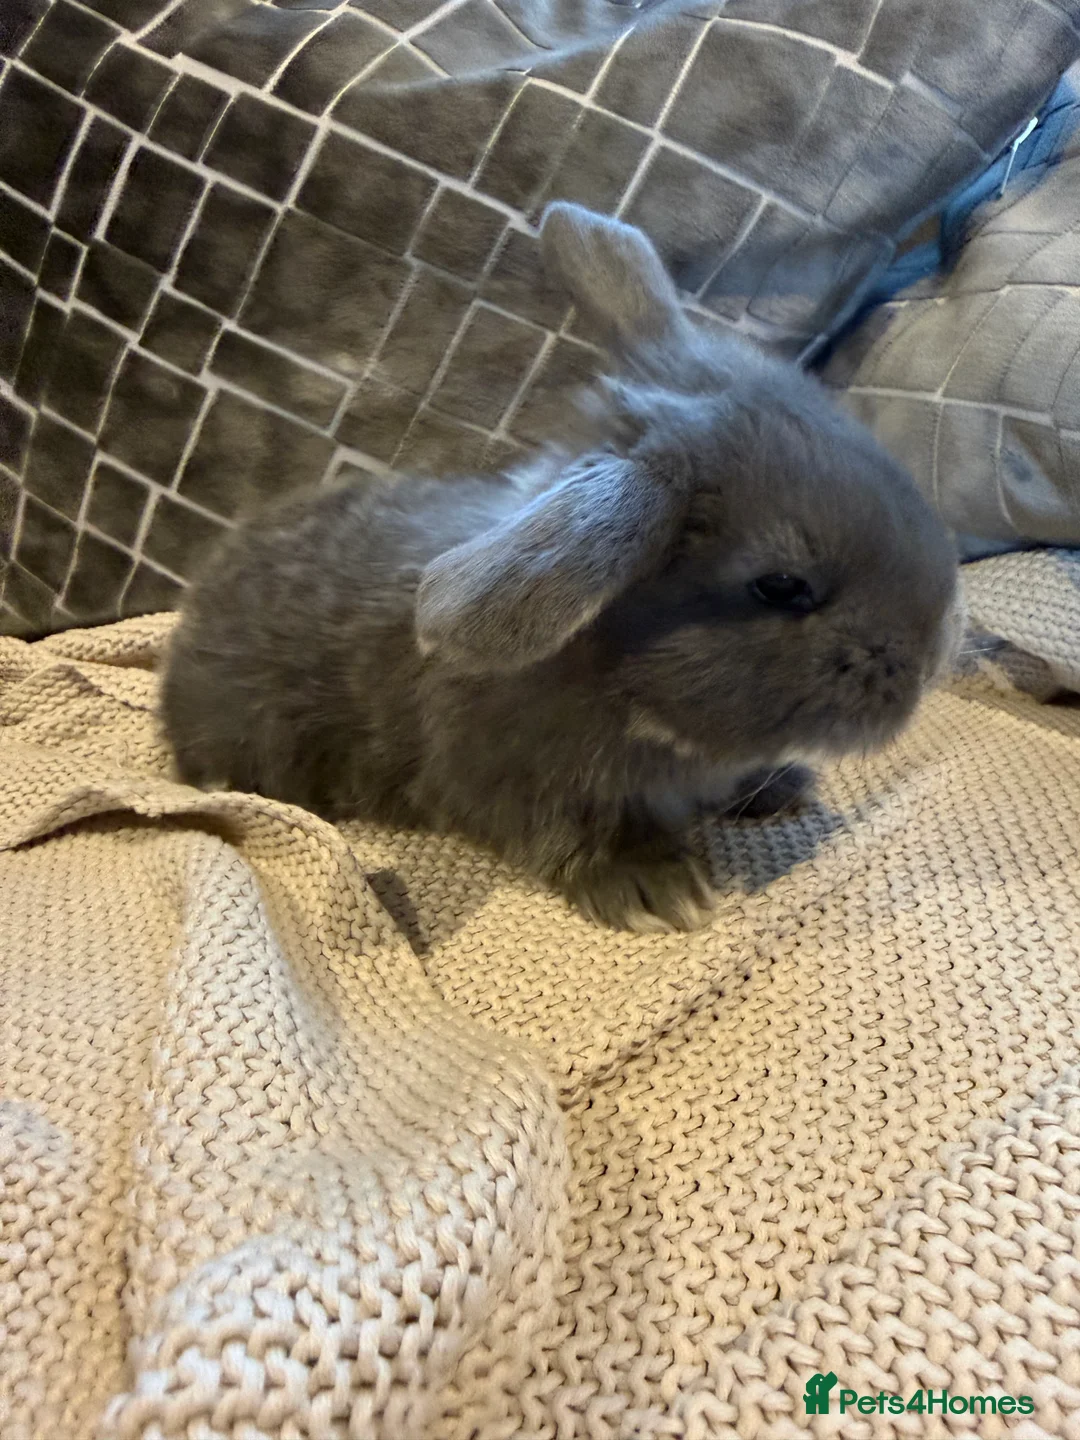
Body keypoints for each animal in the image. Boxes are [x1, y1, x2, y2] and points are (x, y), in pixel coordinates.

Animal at [161, 202, 961, 933]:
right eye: (782, 585)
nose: (931, 663)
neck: (614, 677)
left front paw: (781, 784)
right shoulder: (512, 783)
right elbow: (570, 832)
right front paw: (654, 888)